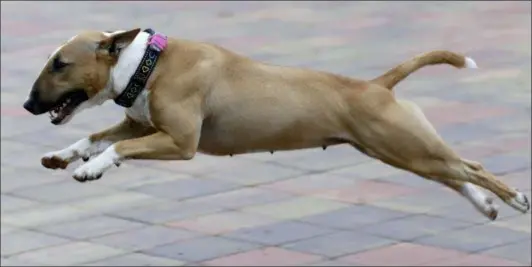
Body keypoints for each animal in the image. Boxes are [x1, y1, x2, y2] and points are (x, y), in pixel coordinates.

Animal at [23, 28, 528, 221]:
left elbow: (116, 149)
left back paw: (515, 199)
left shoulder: (180, 142)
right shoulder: (142, 126)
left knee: (470, 168)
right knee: (454, 172)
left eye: (60, 64)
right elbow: (95, 136)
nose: (27, 105)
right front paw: (64, 156)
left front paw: (90, 169)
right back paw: (486, 206)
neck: (146, 64)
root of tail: (377, 85)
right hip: (403, 151)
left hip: (405, 146)